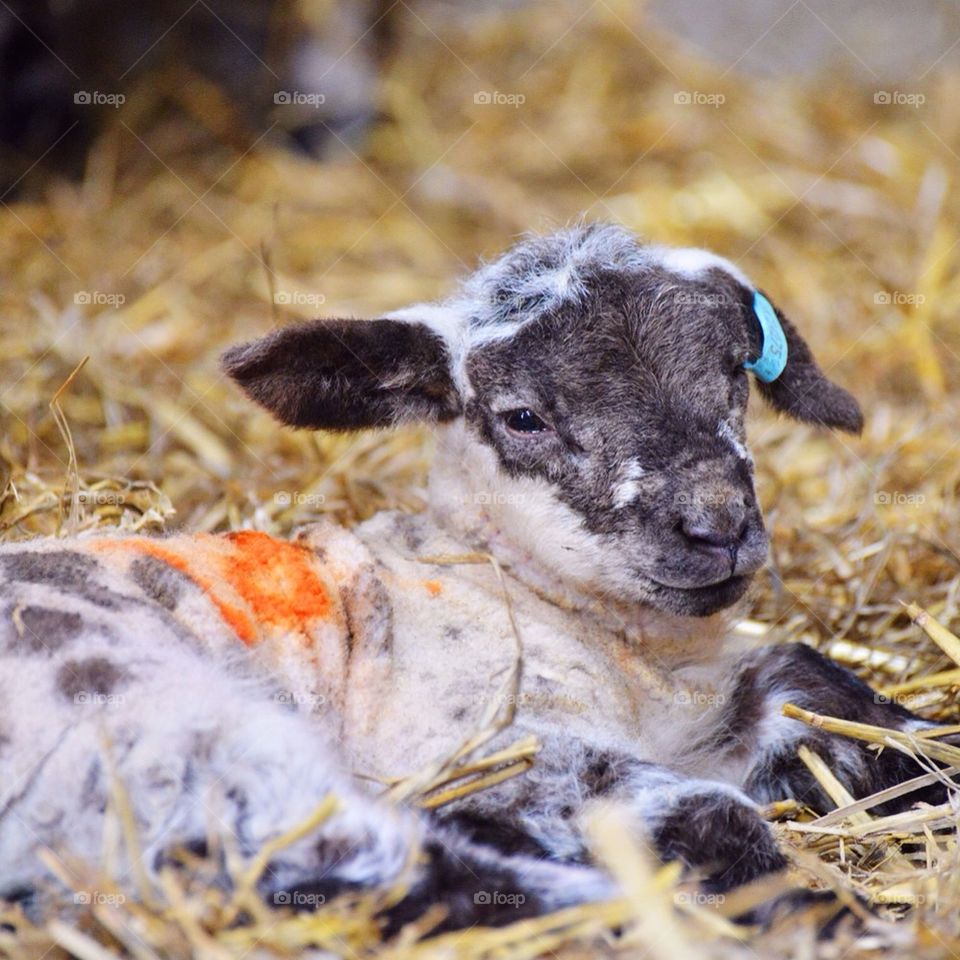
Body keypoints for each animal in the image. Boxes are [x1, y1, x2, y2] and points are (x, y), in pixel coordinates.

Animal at [0, 223, 946, 930]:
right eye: (522, 418)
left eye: (734, 378)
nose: (717, 525)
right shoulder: (483, 741)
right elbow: (713, 817)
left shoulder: (707, 715)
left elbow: (825, 693)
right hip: (168, 745)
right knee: (386, 872)